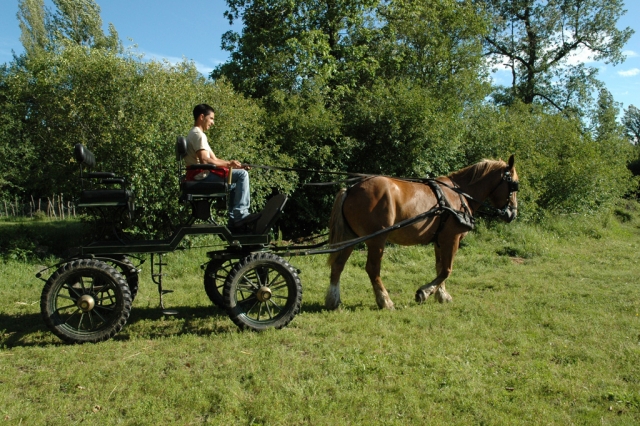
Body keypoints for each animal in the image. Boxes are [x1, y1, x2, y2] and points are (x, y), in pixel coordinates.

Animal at [326, 155, 519, 310]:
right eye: (514, 185)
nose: (512, 214)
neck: (459, 195)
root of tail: (350, 189)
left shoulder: (440, 240)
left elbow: (440, 267)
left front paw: (441, 294)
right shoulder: (452, 238)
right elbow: (447, 270)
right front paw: (424, 293)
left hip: (351, 237)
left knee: (338, 265)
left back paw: (333, 300)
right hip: (377, 240)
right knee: (372, 269)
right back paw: (385, 301)